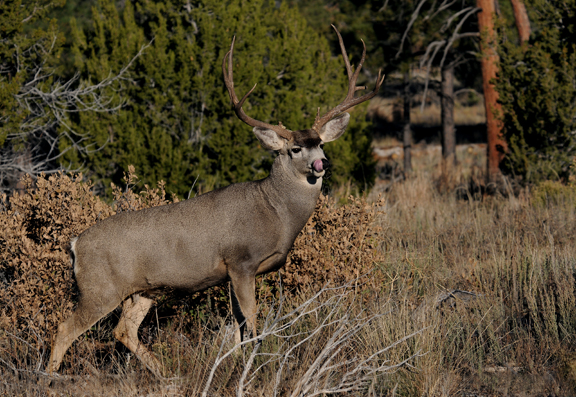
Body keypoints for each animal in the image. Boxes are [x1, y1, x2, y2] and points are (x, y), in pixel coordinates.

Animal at [48, 26, 382, 376]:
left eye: (320, 144)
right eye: (294, 149)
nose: (322, 163)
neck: (276, 212)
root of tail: (75, 244)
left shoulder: (232, 272)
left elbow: (236, 324)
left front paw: (234, 363)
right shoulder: (241, 261)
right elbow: (251, 321)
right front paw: (253, 365)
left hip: (143, 290)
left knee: (123, 330)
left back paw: (167, 375)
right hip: (100, 288)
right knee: (65, 328)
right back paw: (50, 378)